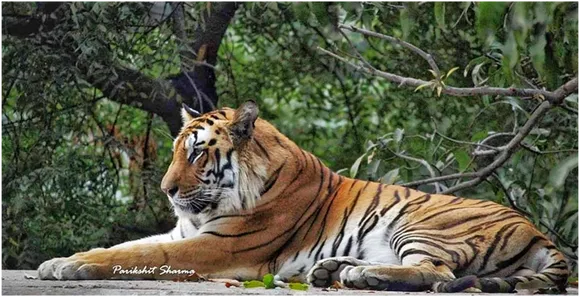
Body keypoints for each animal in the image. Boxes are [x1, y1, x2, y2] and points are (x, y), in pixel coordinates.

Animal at [38, 101, 568, 292]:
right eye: (173, 152)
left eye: (196, 152)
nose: (167, 190)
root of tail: (538, 231)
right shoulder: (181, 229)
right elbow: (125, 247)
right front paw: (60, 260)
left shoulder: (217, 245)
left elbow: (145, 256)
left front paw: (71, 266)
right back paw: (334, 271)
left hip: (421, 224)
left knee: (437, 272)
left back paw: (359, 275)